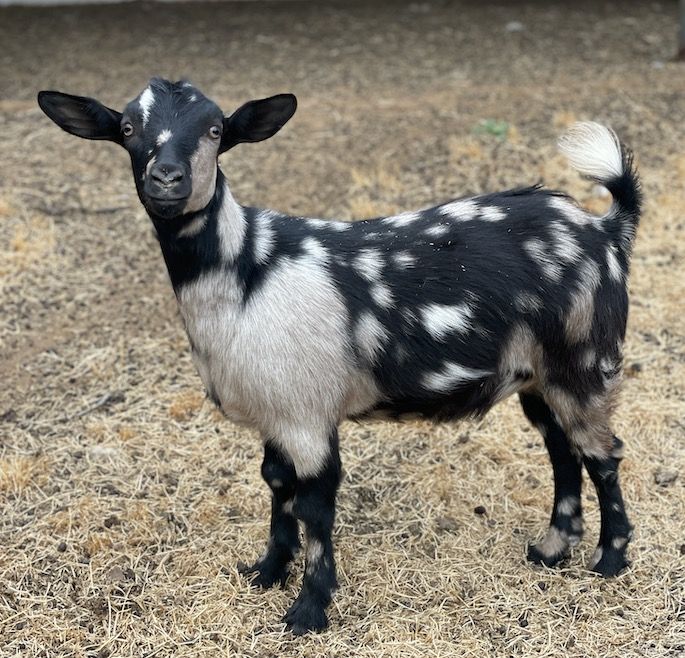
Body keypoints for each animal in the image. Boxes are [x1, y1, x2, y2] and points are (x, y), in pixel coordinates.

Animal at [38, 78, 640, 635]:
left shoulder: (308, 416)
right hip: (538, 376)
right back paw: (552, 549)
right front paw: (267, 571)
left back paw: (609, 560)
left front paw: (309, 610)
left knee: (603, 454)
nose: (167, 178)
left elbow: (314, 507)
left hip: (584, 364)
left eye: (214, 130)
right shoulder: (275, 410)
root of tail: (606, 229)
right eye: (127, 129)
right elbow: (276, 484)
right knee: (562, 450)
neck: (248, 272)